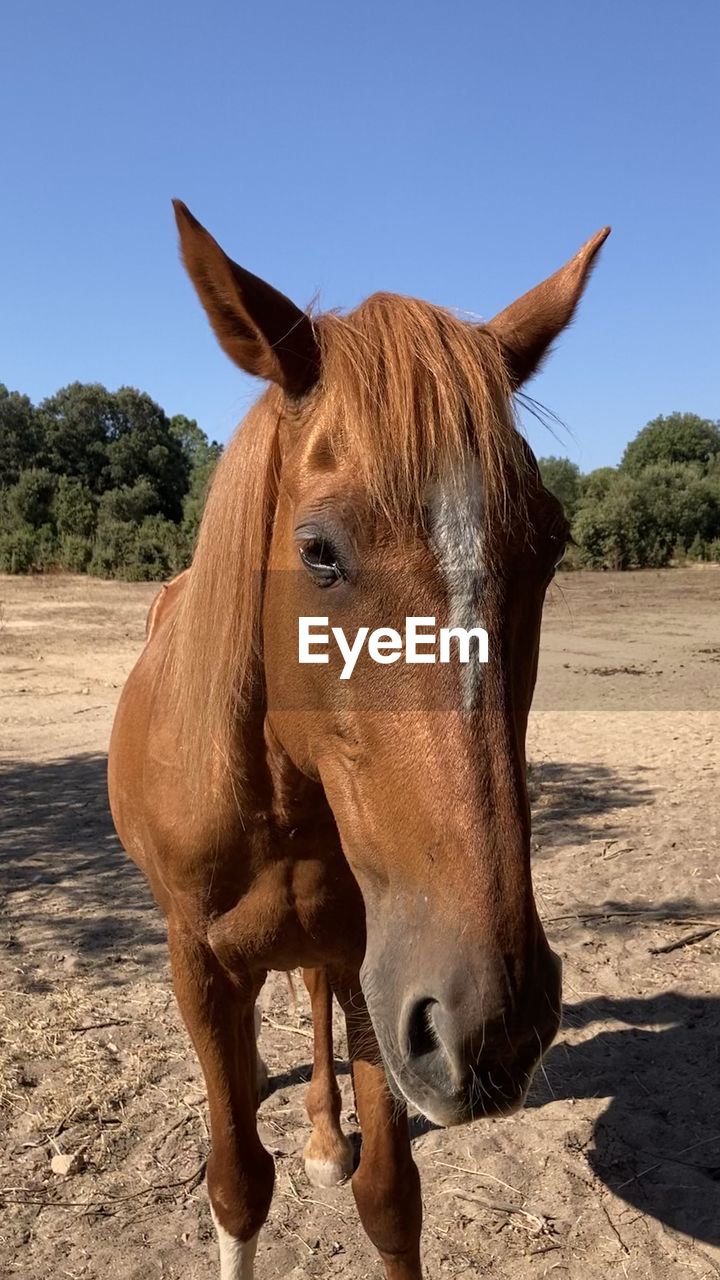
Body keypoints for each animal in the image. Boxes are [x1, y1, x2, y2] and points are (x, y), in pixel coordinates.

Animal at [107, 202, 604, 1280]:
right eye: (318, 551)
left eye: (549, 545)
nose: (495, 1021)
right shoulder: (199, 963)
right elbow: (237, 1186)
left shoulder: (387, 973)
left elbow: (390, 1198)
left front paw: (346, 1149)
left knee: (321, 992)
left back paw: (326, 1129)